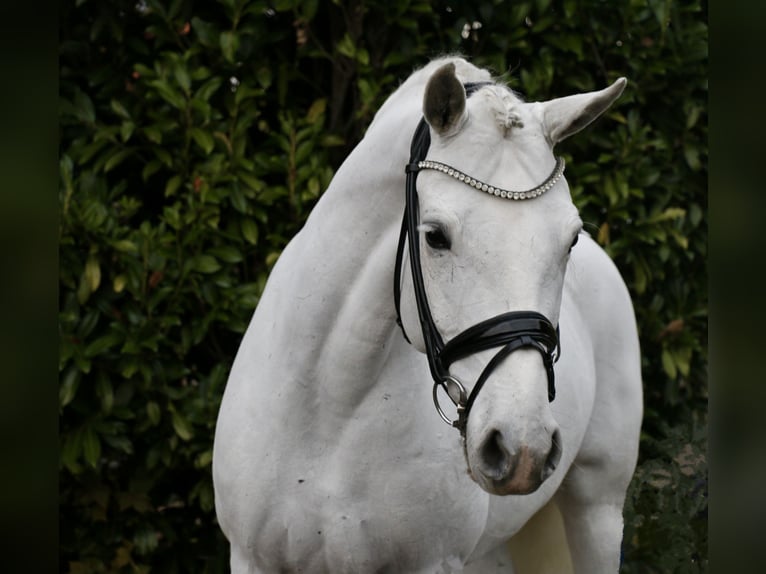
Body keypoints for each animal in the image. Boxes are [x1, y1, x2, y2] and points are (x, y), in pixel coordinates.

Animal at [213, 57, 644, 574]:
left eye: (571, 239)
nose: (522, 447)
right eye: (435, 236)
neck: (327, 410)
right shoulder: (251, 558)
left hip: (597, 509)